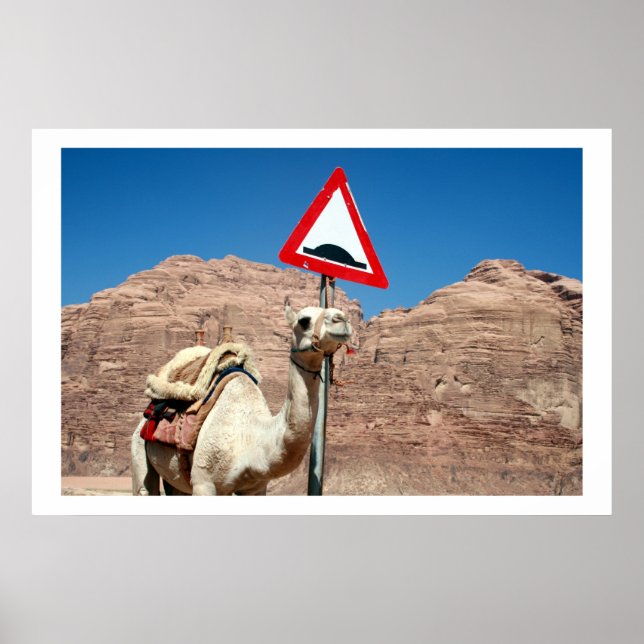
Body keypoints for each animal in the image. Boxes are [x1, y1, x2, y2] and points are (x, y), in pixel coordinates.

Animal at [131, 302, 352, 495]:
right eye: (304, 320)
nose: (342, 318)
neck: (251, 437)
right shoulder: (204, 483)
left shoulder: (256, 487)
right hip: (139, 450)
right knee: (144, 487)